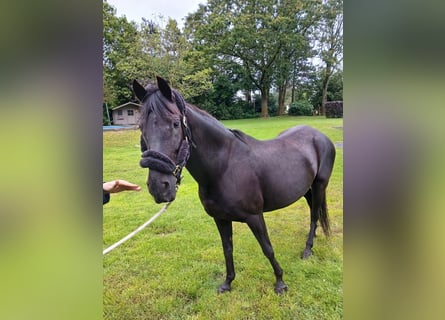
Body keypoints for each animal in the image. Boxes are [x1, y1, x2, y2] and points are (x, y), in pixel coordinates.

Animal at [134, 76, 334, 294]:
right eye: (141, 127)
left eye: (176, 123)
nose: (159, 187)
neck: (224, 168)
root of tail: (319, 136)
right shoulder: (220, 219)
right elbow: (227, 249)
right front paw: (227, 283)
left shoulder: (255, 217)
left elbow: (267, 248)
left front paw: (280, 283)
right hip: (306, 190)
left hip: (319, 186)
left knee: (314, 215)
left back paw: (307, 250)